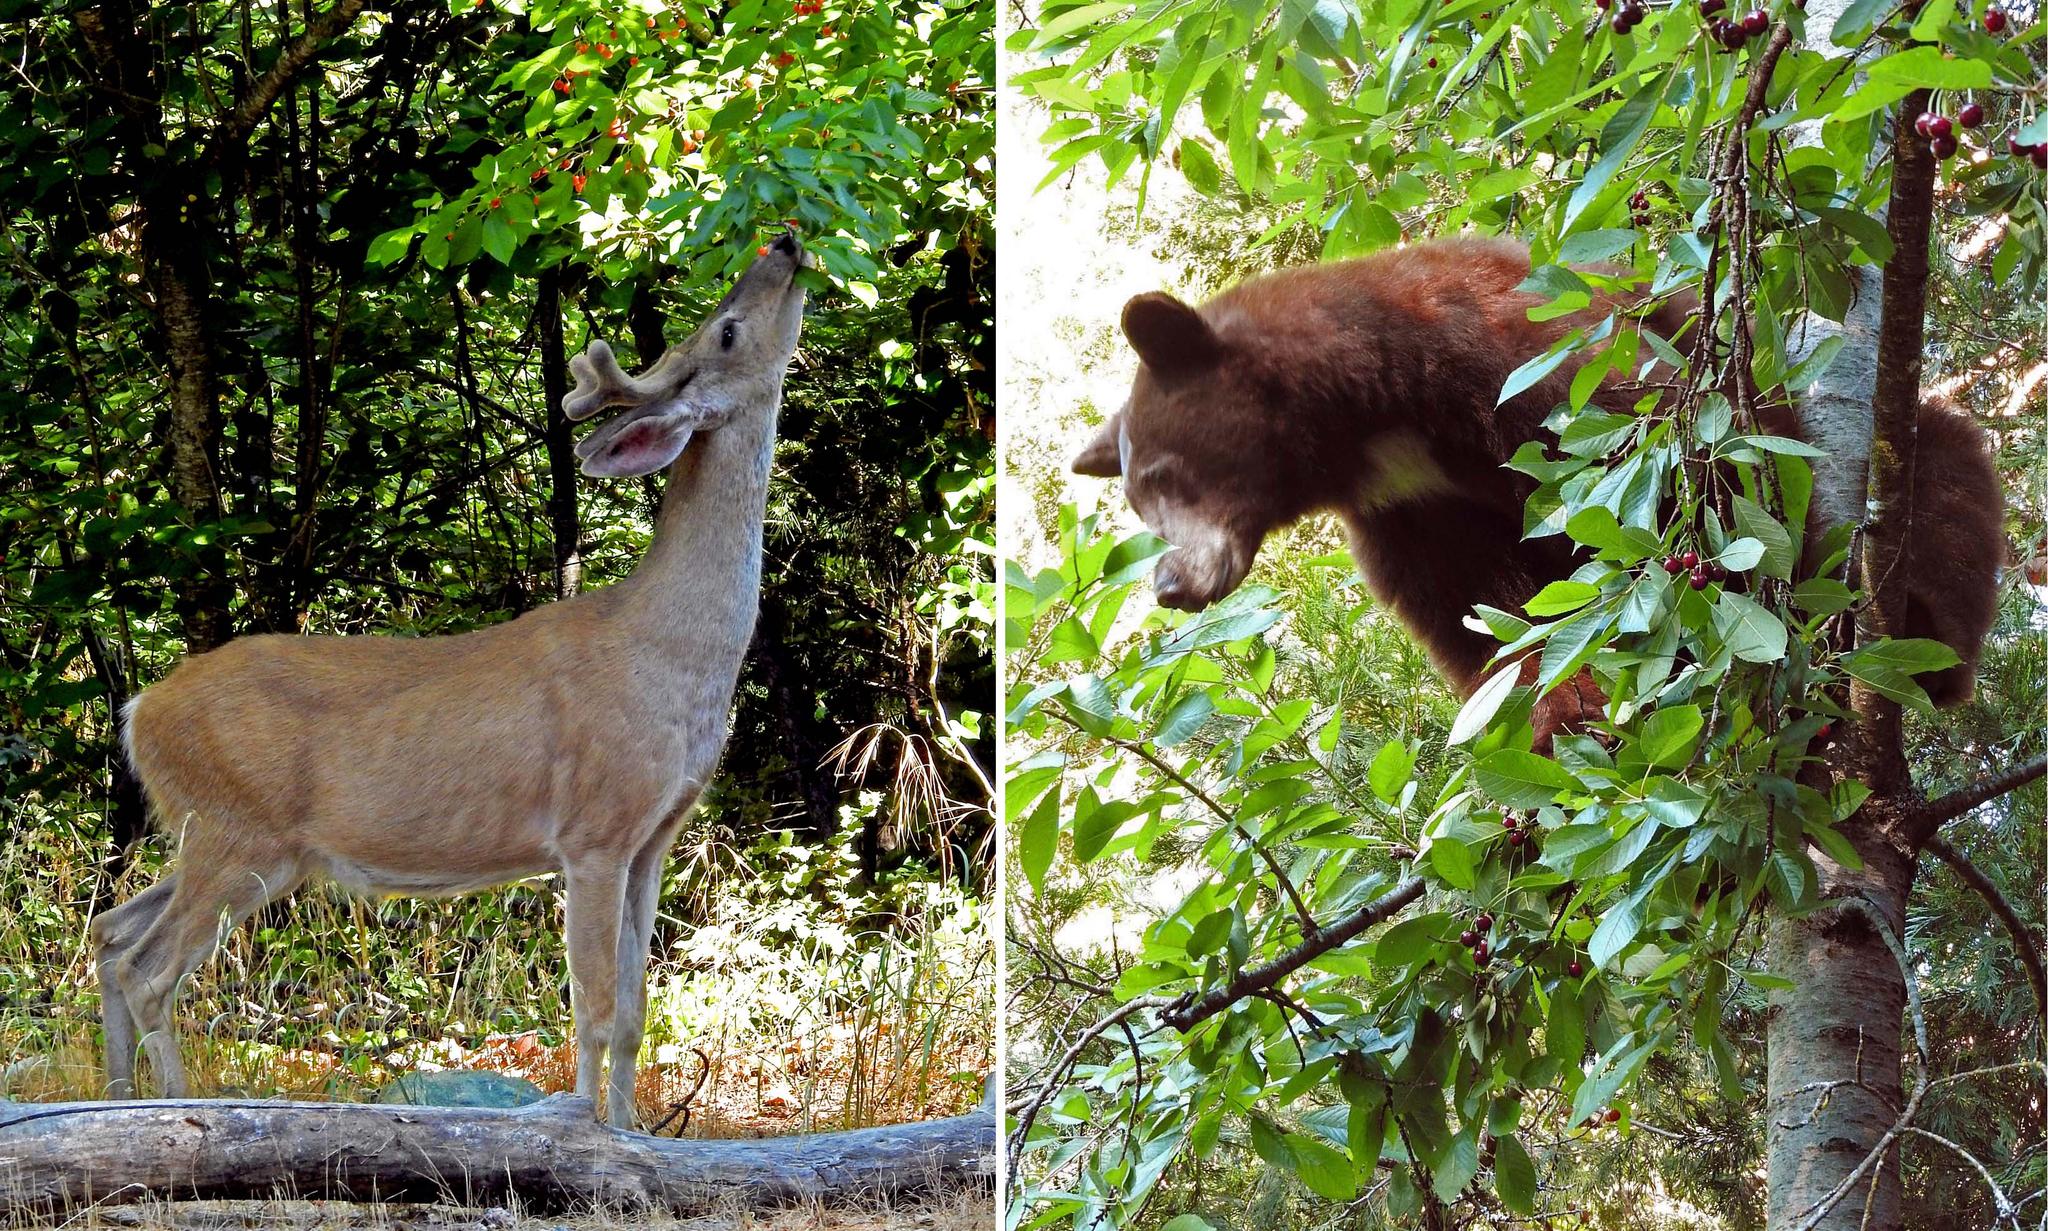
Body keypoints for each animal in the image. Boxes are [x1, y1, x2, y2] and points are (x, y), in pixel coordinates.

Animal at [92, 231, 810, 1128]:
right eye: (727, 331)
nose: (786, 243)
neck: (670, 651)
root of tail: (139, 709)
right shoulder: (593, 829)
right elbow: (594, 1003)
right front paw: (585, 1131)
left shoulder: (654, 837)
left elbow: (637, 1012)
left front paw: (637, 1132)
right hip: (235, 830)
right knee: (151, 971)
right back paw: (181, 1114)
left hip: (227, 839)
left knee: (111, 933)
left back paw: (114, 1104)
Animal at [1070, 236, 2004, 743]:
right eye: (1137, 505)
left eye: (1163, 476)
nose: (1170, 585)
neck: (1379, 414)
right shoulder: (1410, 512)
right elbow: (1489, 619)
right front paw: (1563, 721)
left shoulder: (1537, 361)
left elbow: (1674, 493)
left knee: (1947, 473)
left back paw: (1917, 632)